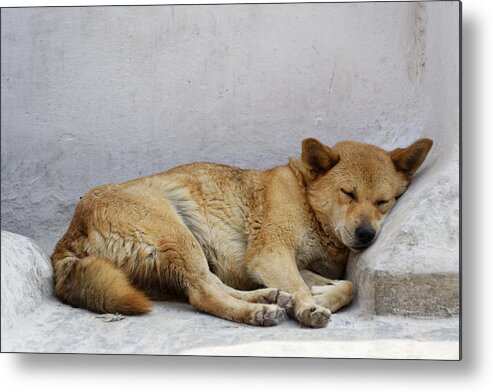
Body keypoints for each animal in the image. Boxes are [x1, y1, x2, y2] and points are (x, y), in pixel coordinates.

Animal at [51, 138, 430, 328]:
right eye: (348, 193)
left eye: (383, 201)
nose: (366, 234)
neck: (305, 197)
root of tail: (67, 240)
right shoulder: (270, 254)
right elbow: (303, 285)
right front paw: (310, 305)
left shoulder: (288, 263)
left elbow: (344, 286)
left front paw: (319, 296)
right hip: (178, 236)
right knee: (203, 295)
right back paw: (257, 313)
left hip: (188, 253)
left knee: (210, 285)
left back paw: (264, 299)